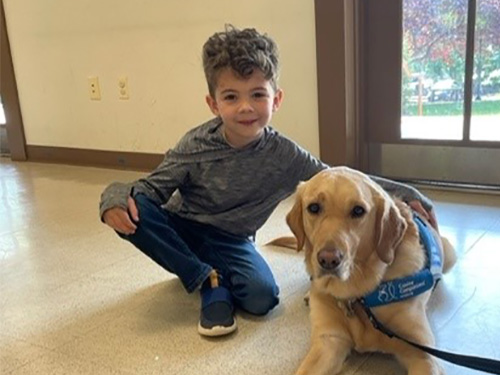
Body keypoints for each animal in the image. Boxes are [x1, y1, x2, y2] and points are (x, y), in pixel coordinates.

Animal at [272, 168, 456, 375]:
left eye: (358, 211)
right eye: (314, 208)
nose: (329, 260)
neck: (357, 295)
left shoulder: (423, 355)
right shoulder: (328, 343)